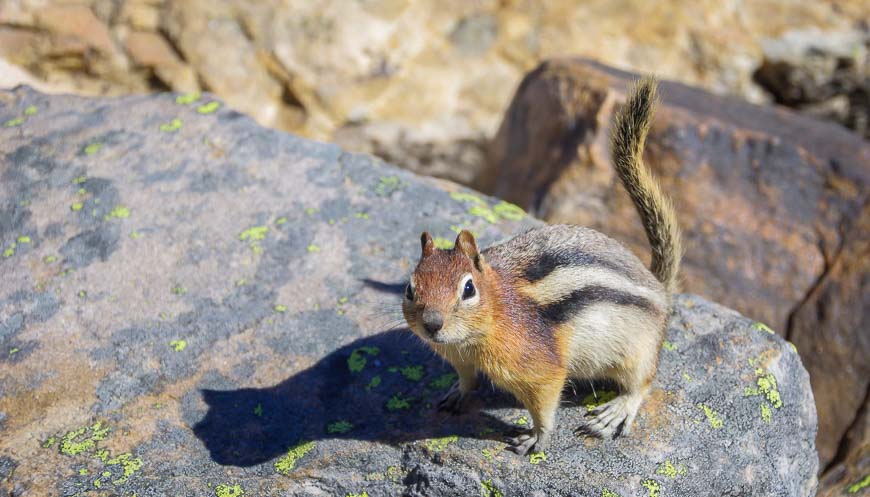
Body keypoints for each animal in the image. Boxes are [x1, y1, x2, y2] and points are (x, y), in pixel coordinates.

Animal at [402, 76, 680, 454]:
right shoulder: (460, 358)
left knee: (643, 382)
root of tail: (658, 285)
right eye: (409, 288)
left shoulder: (539, 369)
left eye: (468, 289)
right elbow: (466, 378)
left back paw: (616, 411)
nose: (432, 324)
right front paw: (456, 393)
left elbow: (545, 402)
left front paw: (536, 437)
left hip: (639, 348)